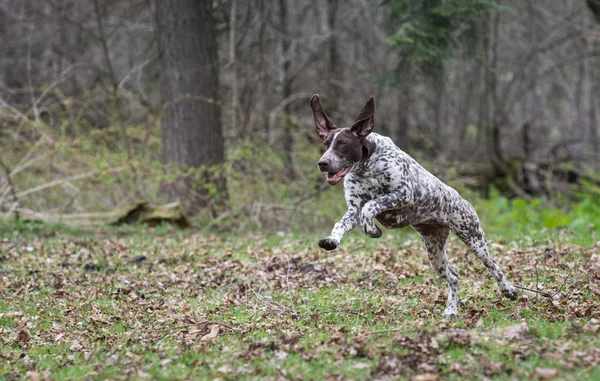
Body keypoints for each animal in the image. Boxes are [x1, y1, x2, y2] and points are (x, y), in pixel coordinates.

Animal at [312, 93, 516, 316]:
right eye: (325, 144)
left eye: (342, 144)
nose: (322, 163)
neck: (366, 167)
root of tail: (460, 198)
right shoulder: (353, 210)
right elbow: (341, 223)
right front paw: (333, 240)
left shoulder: (403, 194)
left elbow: (372, 205)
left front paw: (373, 229)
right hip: (434, 253)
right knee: (454, 277)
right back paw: (451, 310)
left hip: (474, 238)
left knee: (494, 267)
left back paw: (508, 290)